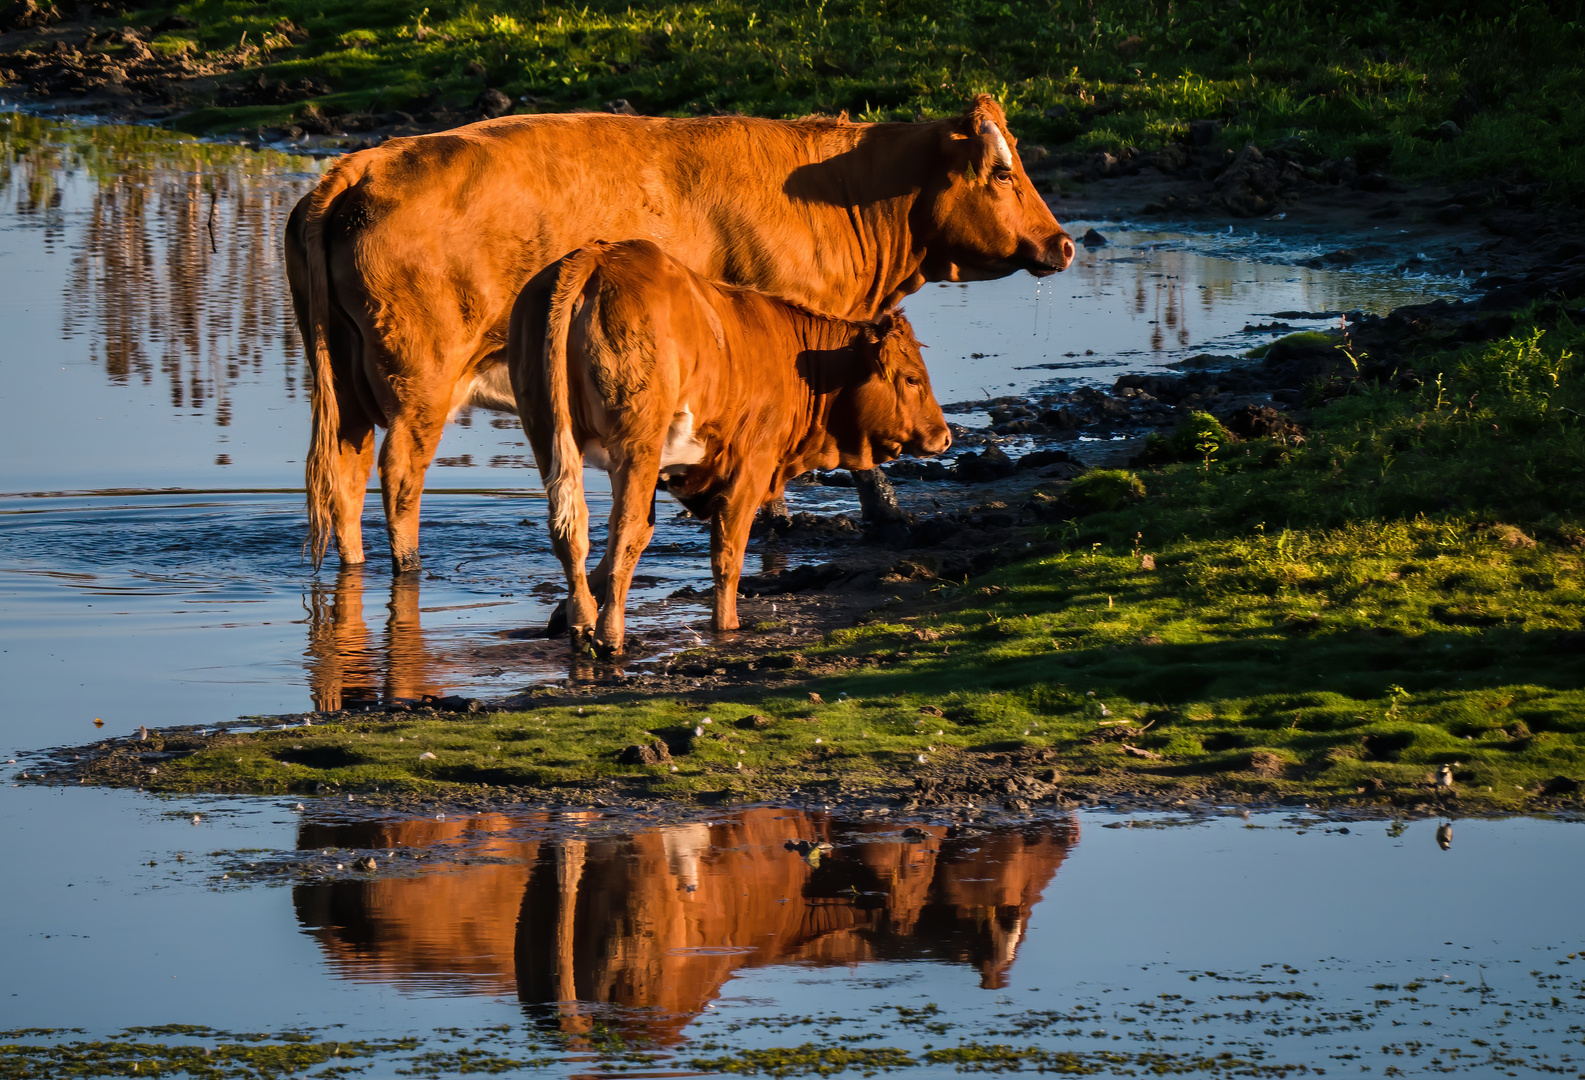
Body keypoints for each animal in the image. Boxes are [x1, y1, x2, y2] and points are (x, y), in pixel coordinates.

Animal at [291, 94, 1071, 574]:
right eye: (1002, 173)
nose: (1061, 244)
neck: (832, 197)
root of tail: (362, 162)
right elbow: (858, 446)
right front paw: (883, 515)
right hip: (419, 382)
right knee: (398, 476)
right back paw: (408, 568)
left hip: (350, 385)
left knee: (344, 473)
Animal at [513, 239, 944, 653]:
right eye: (911, 378)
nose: (943, 434)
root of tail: (598, 256)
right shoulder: (751, 465)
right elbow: (727, 552)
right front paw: (727, 626)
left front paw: (565, 612)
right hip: (638, 445)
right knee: (623, 528)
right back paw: (610, 636)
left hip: (546, 432)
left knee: (573, 527)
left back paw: (583, 622)